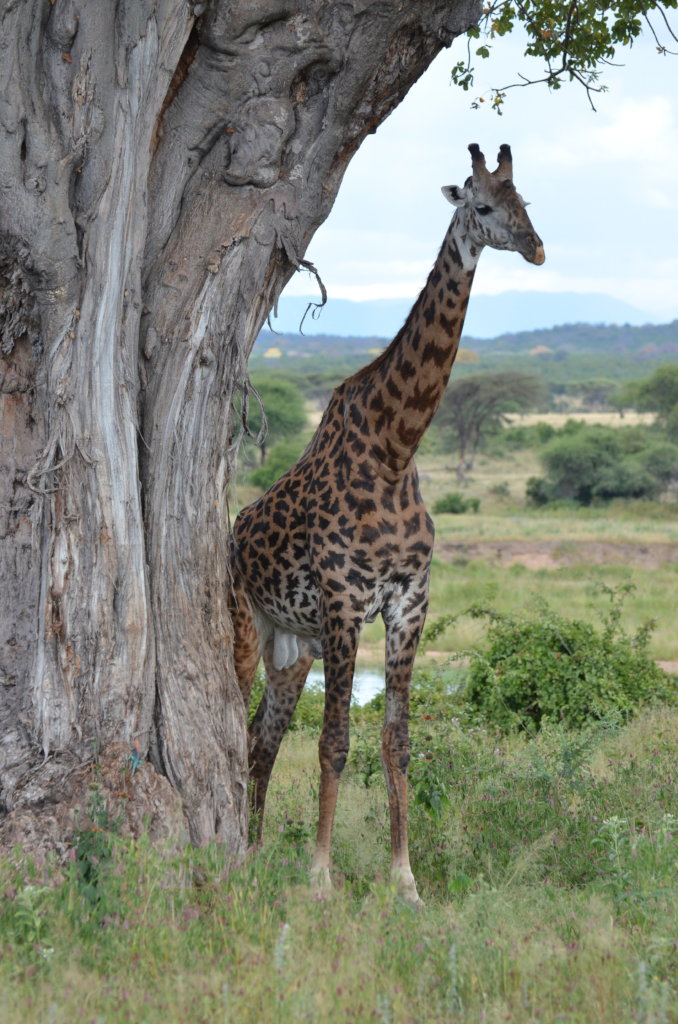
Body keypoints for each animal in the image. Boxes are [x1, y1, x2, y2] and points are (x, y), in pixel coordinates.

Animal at [231, 146, 544, 905]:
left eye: (526, 201)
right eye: (482, 205)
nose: (537, 248)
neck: (395, 448)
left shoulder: (410, 601)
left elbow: (396, 741)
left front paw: (405, 880)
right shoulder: (345, 600)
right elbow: (337, 739)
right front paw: (320, 876)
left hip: (293, 648)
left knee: (261, 739)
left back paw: (252, 853)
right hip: (249, 630)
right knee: (238, 727)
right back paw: (251, 854)